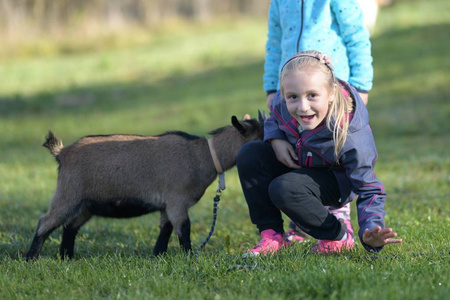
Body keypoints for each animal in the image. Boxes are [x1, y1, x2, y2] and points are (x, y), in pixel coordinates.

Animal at [25, 113, 264, 258]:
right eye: (262, 136)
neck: (204, 155)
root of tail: (62, 153)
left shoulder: (167, 205)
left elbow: (166, 229)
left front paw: (158, 255)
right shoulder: (177, 200)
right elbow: (183, 228)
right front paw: (188, 256)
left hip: (86, 204)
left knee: (70, 226)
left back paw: (67, 257)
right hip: (68, 193)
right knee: (46, 222)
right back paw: (31, 258)